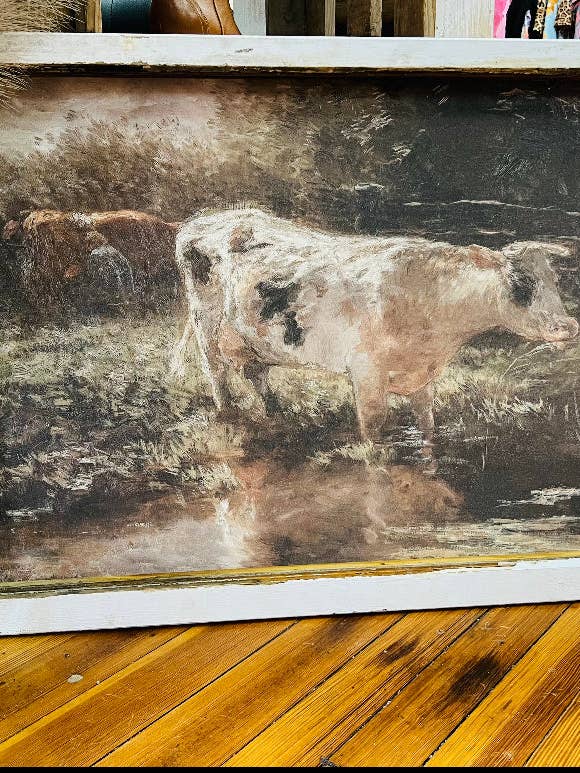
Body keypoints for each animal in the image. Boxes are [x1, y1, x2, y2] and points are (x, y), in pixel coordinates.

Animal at [171, 208, 578, 443]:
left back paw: (277, 414)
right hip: (206, 325)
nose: (568, 326)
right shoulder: (366, 375)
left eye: (555, 281)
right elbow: (373, 438)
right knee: (216, 374)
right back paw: (228, 415)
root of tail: (203, 220)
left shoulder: (421, 375)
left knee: (256, 373)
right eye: (521, 284)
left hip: (254, 337)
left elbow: (427, 426)